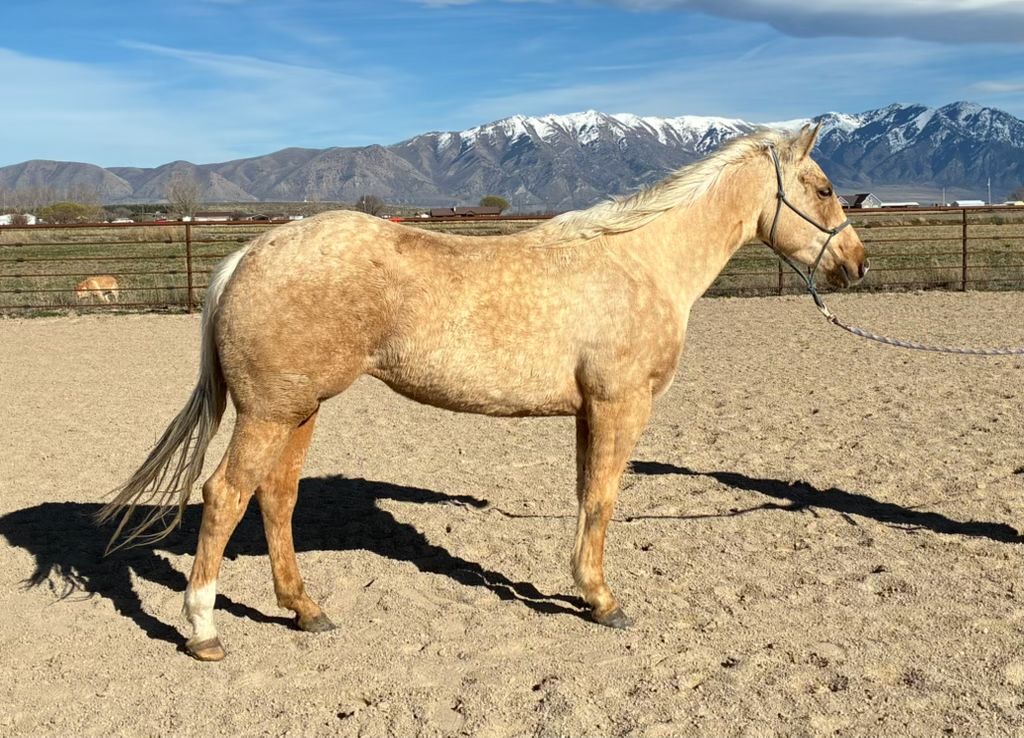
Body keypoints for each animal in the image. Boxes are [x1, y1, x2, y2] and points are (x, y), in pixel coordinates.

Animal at [98, 124, 868, 661]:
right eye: (824, 187)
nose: (856, 264)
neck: (640, 260)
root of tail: (247, 254)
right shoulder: (620, 404)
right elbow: (605, 499)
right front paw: (602, 601)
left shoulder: (590, 411)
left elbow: (586, 496)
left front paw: (585, 590)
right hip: (270, 413)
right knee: (226, 495)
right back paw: (203, 630)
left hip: (298, 411)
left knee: (275, 497)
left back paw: (306, 611)